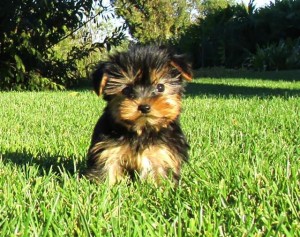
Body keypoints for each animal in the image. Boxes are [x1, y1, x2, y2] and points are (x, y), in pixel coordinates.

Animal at [85, 45, 192, 185]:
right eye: (126, 90)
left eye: (160, 87)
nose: (144, 107)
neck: (141, 130)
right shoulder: (109, 151)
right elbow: (108, 172)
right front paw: (108, 188)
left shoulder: (162, 153)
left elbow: (160, 176)